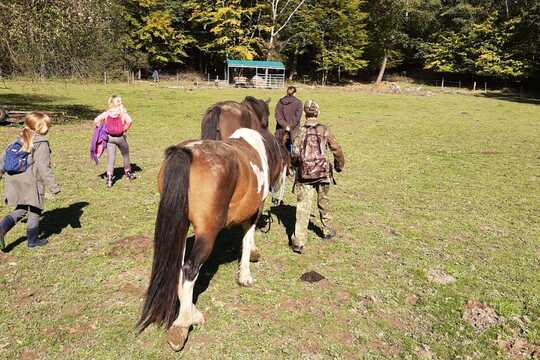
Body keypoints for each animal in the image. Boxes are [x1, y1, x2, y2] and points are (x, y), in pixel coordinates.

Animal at [139, 127, 288, 352]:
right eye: (290, 161)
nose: (279, 197)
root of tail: (186, 152)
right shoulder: (254, 211)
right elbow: (247, 239)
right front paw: (246, 273)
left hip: (181, 225)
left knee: (178, 266)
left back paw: (192, 312)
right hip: (206, 234)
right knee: (189, 269)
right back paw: (182, 325)